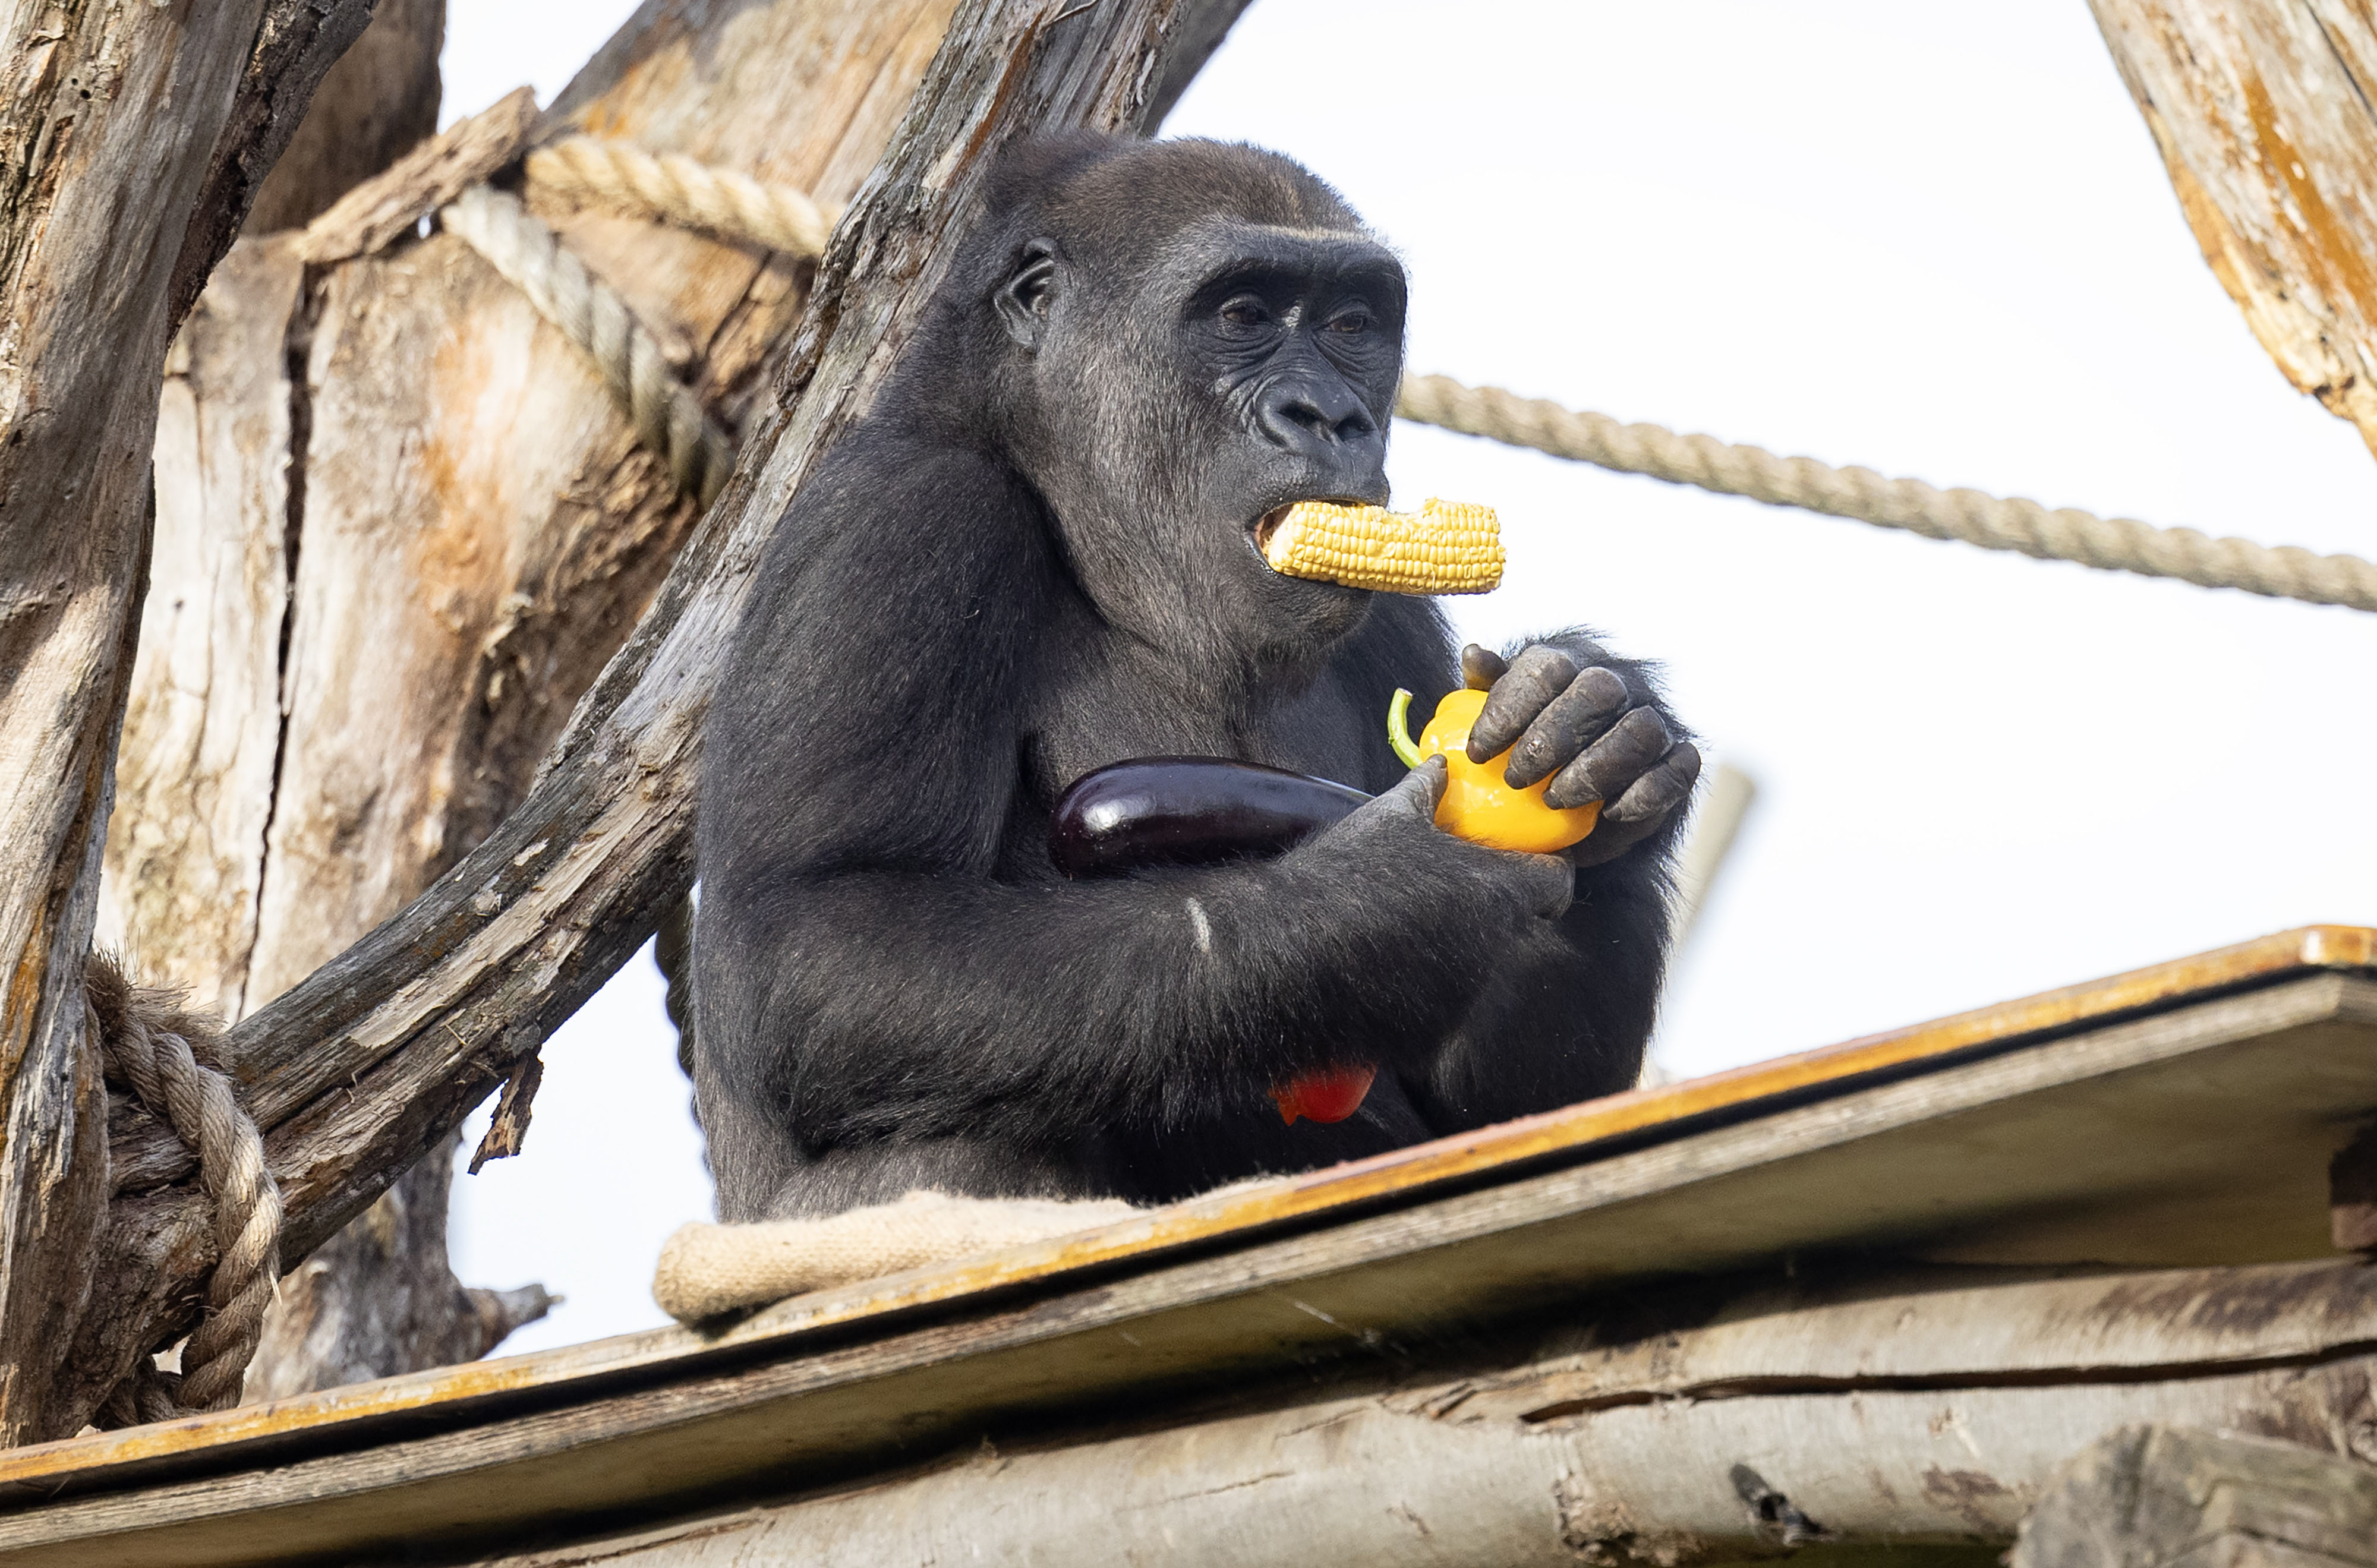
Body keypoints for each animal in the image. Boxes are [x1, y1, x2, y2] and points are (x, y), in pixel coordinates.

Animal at [689, 131, 1692, 1226]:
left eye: (1351, 326)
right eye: (1242, 315)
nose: (1329, 415)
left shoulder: (1396, 623)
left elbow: (1509, 1108)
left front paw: (1597, 731)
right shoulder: (898, 521)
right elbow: (824, 935)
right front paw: (1378, 910)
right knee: (948, 1155)